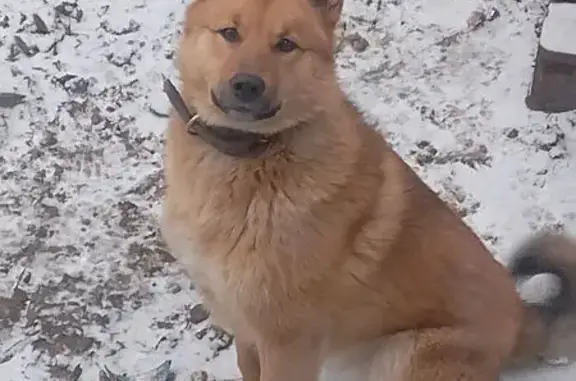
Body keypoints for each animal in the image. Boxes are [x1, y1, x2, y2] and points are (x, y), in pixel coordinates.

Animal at [160, 1, 576, 378]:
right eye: (229, 33)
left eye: (286, 44)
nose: (247, 85)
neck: (250, 158)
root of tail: (520, 319)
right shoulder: (245, 329)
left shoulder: (289, 344)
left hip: (402, 353)